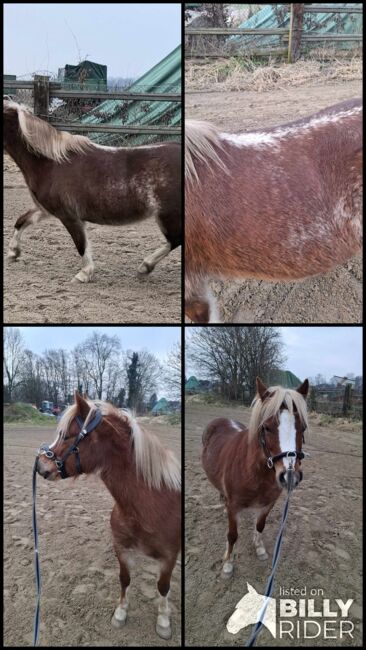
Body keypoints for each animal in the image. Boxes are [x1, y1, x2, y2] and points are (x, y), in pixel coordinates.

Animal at [4, 98, 182, 280]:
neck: (51, 164)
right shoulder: (45, 209)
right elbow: (21, 221)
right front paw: (13, 253)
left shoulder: (68, 216)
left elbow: (81, 243)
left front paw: (84, 273)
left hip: (168, 215)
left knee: (175, 240)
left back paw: (145, 266)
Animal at [35, 392, 180, 636]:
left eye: (67, 435)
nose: (40, 464)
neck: (149, 507)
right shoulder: (121, 548)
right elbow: (125, 579)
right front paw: (121, 612)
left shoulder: (170, 556)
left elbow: (163, 587)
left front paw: (163, 620)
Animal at [202, 378, 308, 576]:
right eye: (266, 427)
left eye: (302, 427)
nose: (289, 476)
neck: (255, 473)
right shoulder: (234, 507)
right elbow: (232, 535)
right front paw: (228, 563)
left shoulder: (268, 504)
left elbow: (260, 525)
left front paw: (259, 548)